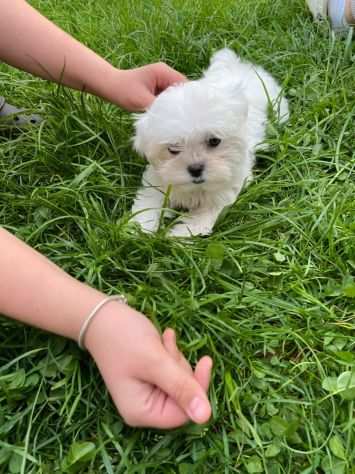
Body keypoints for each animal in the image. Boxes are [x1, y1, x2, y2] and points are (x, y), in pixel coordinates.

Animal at [131, 48, 290, 237]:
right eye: (173, 148)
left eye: (214, 141)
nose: (195, 169)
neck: (196, 189)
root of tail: (237, 65)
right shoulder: (157, 180)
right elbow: (149, 201)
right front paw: (140, 228)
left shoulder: (225, 189)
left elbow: (203, 215)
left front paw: (179, 234)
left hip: (275, 102)